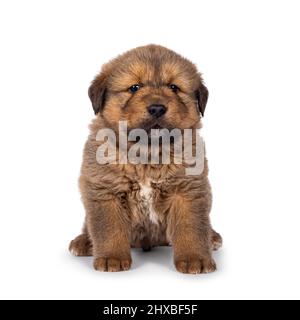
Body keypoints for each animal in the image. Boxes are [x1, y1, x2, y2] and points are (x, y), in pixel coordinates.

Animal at [69, 44, 221, 276]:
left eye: (174, 87)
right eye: (134, 87)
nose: (157, 108)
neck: (147, 152)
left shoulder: (187, 190)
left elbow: (191, 228)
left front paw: (195, 259)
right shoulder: (105, 190)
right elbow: (109, 228)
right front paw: (112, 258)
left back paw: (212, 238)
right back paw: (84, 242)